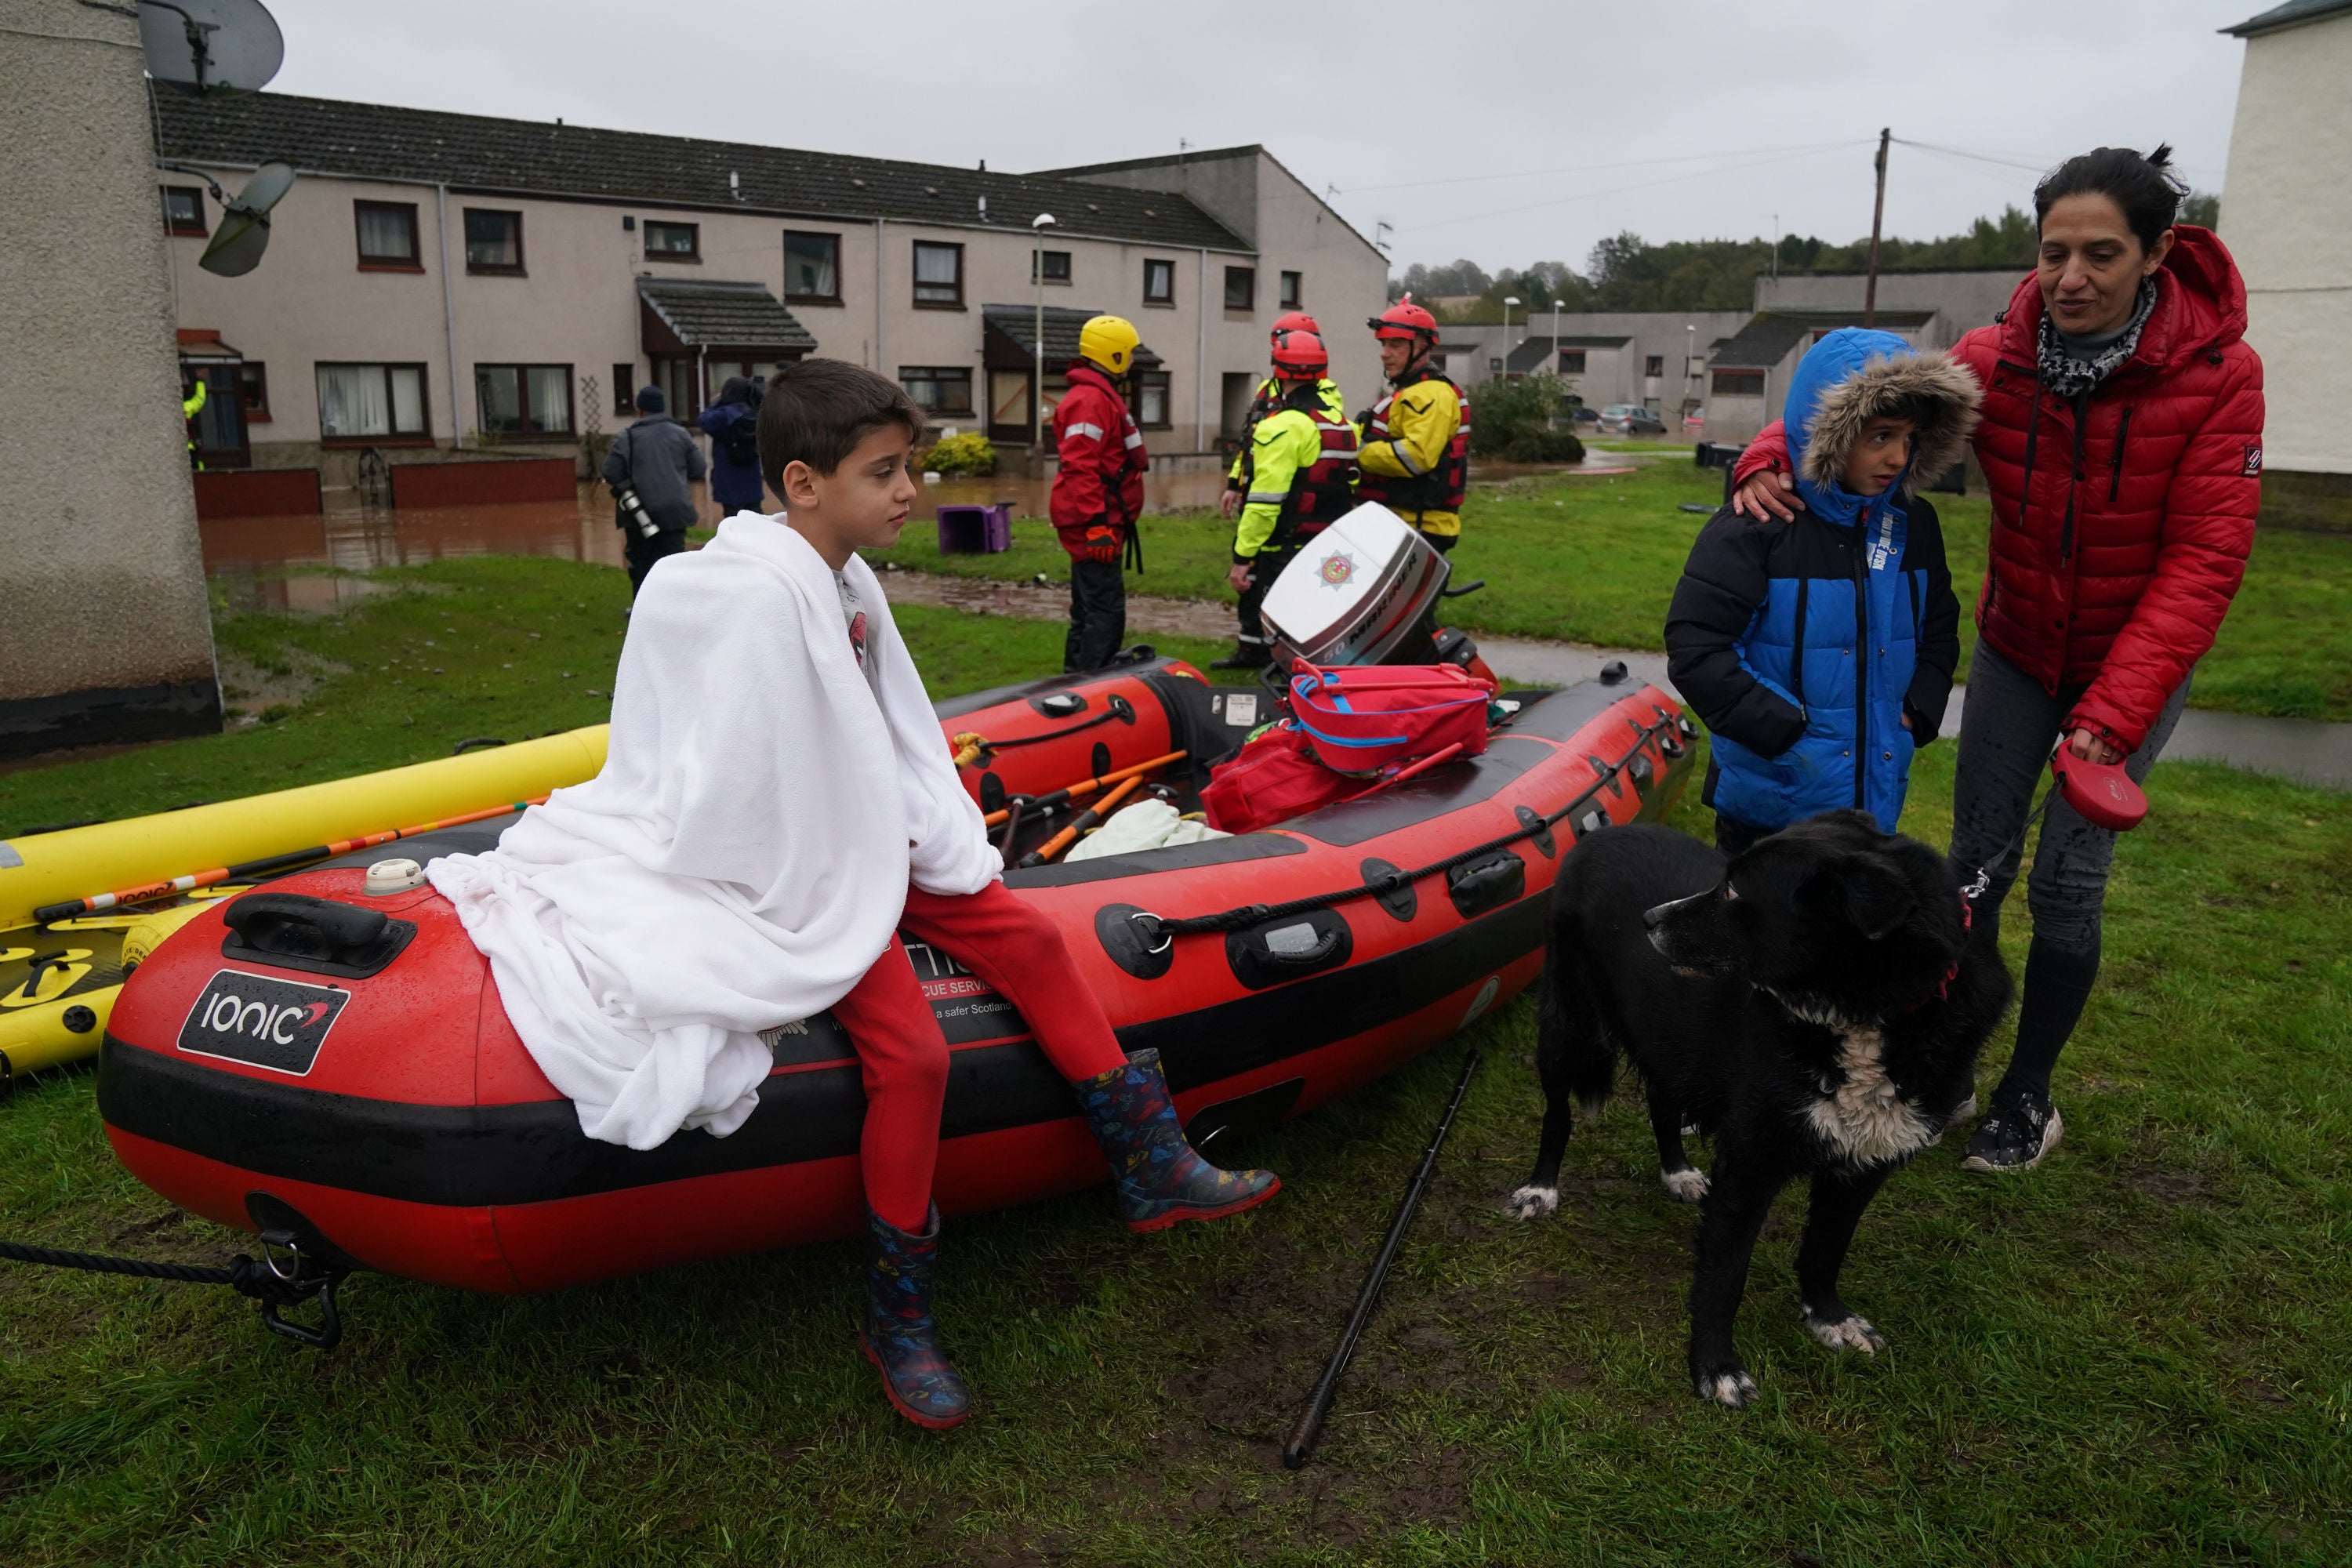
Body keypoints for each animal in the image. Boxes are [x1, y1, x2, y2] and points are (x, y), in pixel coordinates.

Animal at [1515, 818, 2013, 1401]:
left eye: (1733, 892)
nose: (1648, 920)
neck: (1861, 1017)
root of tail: (1603, 831)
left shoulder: (1864, 1166)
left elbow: (1826, 1248)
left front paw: (1829, 1319)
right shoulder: (1750, 1162)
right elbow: (1724, 1274)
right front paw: (1715, 1368)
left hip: (1669, 1040)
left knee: (1662, 1102)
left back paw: (1677, 1172)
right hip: (1567, 1025)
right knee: (1558, 1115)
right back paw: (1541, 1189)